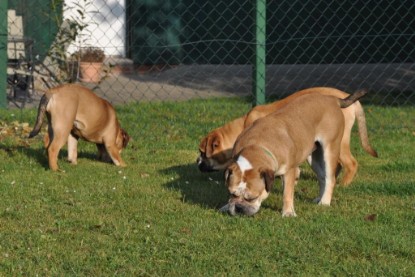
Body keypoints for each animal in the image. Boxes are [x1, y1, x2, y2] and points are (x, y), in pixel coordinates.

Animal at [197, 86, 378, 185]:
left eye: (202, 152)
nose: (197, 161)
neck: (242, 125)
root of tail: (352, 101)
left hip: (338, 142)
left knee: (351, 163)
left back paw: (343, 184)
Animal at [223, 90, 368, 216]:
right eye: (232, 194)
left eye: (252, 198)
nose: (239, 207)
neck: (256, 147)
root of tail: (333, 99)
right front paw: (226, 205)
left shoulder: (289, 171)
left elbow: (287, 193)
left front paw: (288, 213)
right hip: (313, 157)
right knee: (322, 177)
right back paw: (319, 198)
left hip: (330, 149)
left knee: (330, 178)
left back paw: (325, 202)